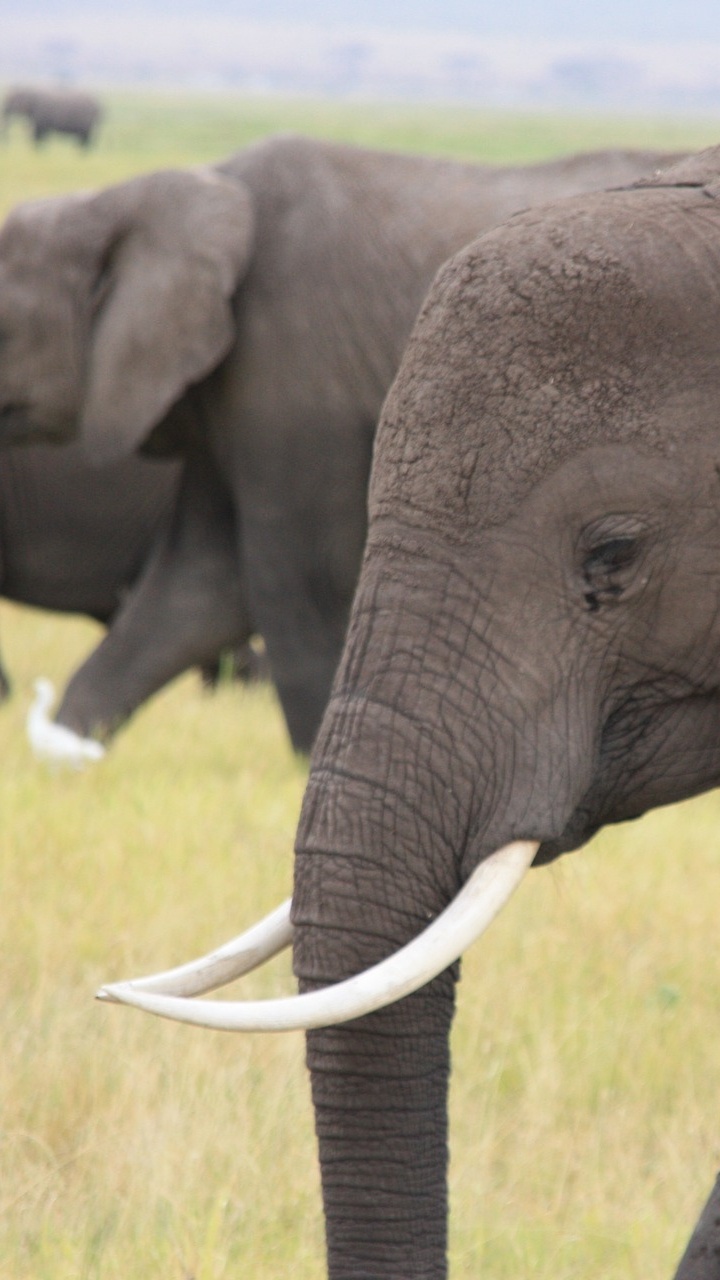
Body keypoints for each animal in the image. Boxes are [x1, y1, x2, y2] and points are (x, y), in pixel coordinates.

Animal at [0, 135, 685, 752]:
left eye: (2, 327)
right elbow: (198, 583)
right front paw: (67, 751)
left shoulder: (290, 372)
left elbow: (298, 580)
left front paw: (305, 763)